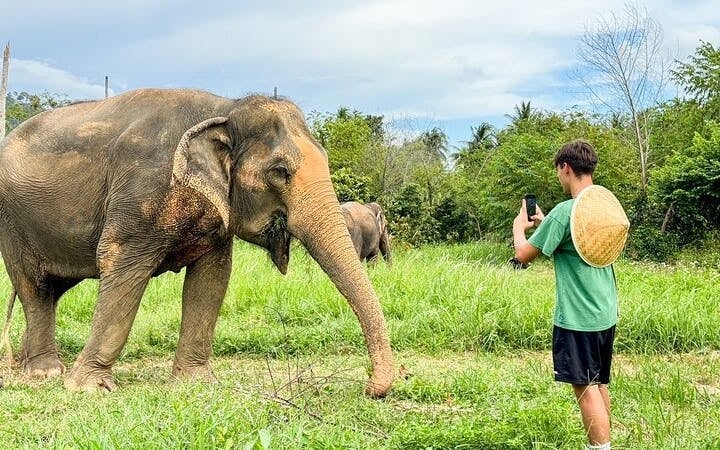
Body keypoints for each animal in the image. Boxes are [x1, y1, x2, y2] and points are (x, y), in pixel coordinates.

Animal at [0, 88, 394, 397]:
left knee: (52, 290)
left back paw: (32, 365)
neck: (226, 108)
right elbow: (120, 263)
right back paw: (46, 372)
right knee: (35, 288)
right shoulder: (139, 196)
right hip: (12, 224)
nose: (370, 388)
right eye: (279, 171)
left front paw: (197, 383)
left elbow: (212, 278)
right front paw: (90, 388)